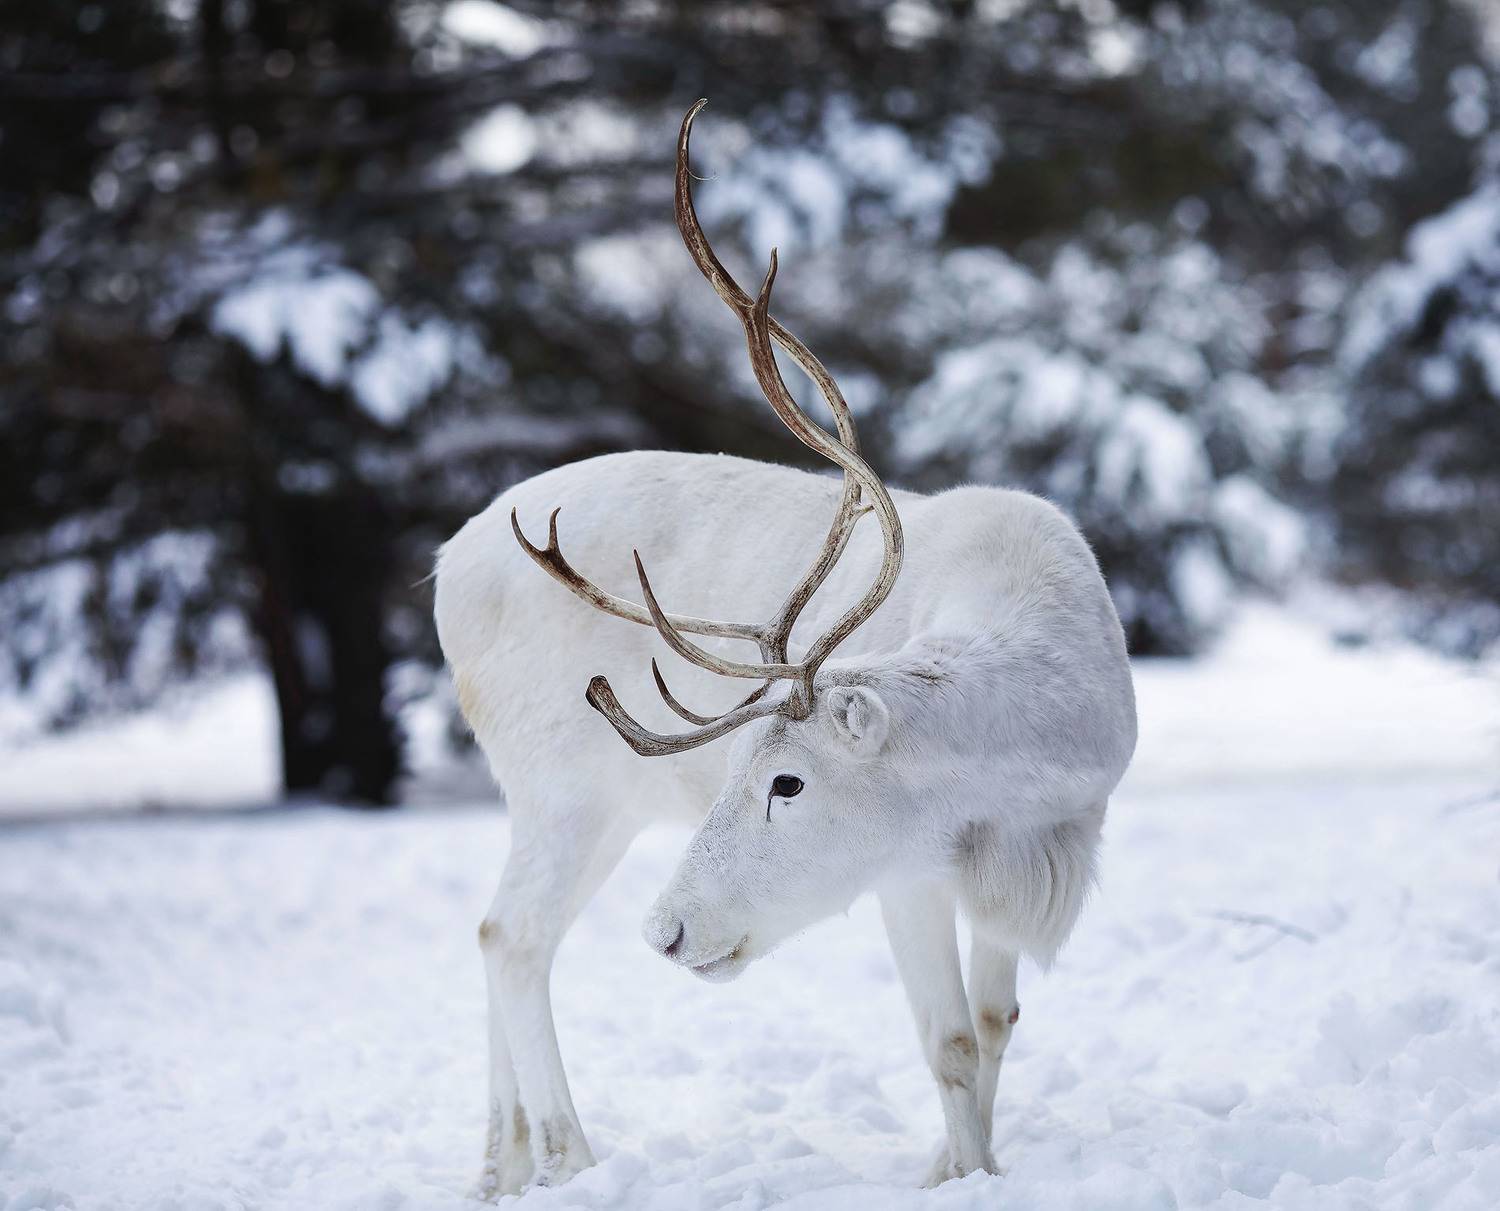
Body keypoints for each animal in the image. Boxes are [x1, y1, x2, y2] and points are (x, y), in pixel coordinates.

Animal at [433, 100, 1137, 1198]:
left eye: (787, 780)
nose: (667, 930)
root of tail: (440, 573)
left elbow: (996, 1022)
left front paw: (962, 1165)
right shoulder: (906, 870)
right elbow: (947, 1043)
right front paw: (960, 1176)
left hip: (599, 801)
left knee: (498, 928)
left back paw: (500, 1169)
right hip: (558, 782)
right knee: (512, 934)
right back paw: (571, 1158)